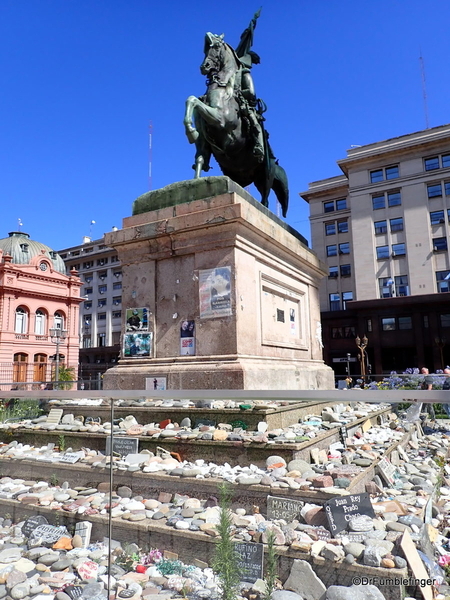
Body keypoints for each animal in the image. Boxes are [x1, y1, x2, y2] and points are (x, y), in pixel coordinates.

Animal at [183, 31, 288, 217]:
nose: (204, 66)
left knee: (266, 198)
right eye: (205, 49)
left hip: (265, 176)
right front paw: (195, 181)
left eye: (216, 46)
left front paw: (190, 131)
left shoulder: (220, 119)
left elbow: (193, 100)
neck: (223, 86)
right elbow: (200, 157)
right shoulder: (203, 140)